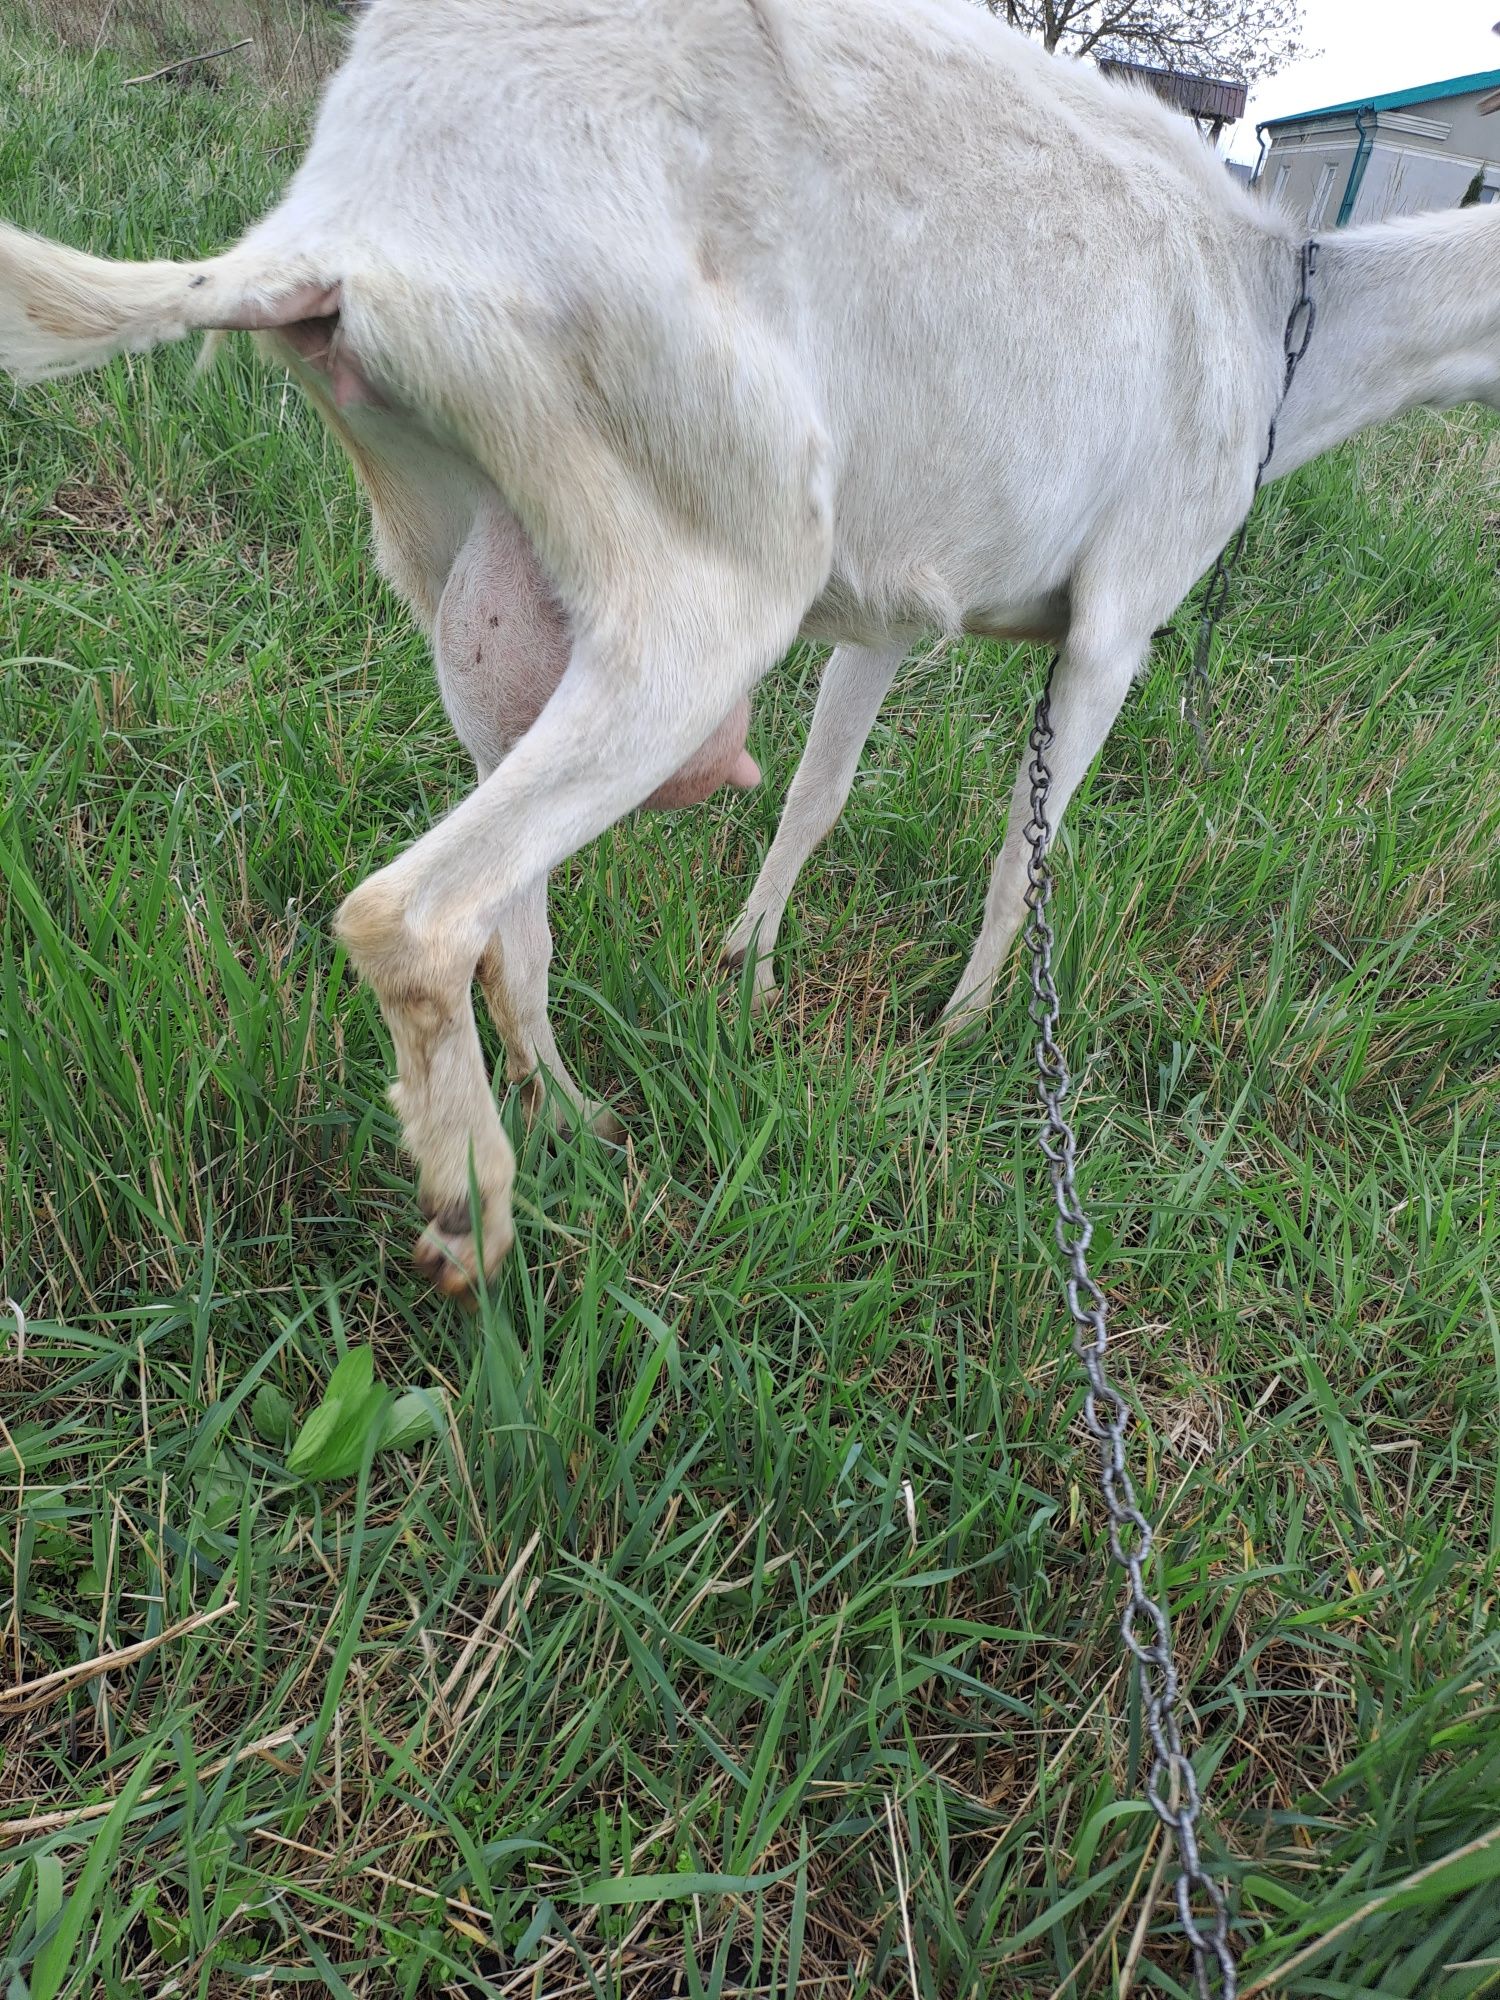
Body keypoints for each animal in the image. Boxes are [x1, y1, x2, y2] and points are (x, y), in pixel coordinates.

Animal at [2, 0, 1500, 1296]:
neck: (1280, 315)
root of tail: (345, 222)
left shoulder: (896, 611)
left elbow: (816, 794)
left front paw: (750, 967)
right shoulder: (1119, 621)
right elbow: (1025, 858)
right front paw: (959, 1038)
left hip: (460, 557)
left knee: (511, 918)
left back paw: (580, 1121)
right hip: (702, 559)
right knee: (413, 914)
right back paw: (475, 1206)